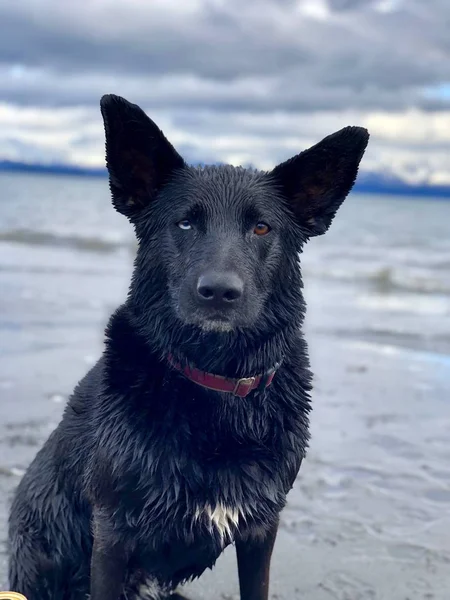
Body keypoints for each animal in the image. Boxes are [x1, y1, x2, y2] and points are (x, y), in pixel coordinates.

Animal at [7, 95, 370, 600]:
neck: (216, 381)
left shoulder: (262, 529)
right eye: (184, 223)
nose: (219, 292)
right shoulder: (113, 532)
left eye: (262, 228)